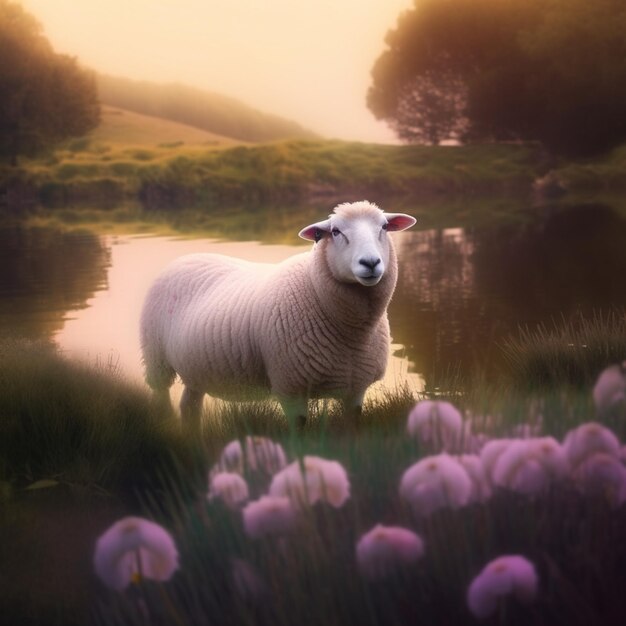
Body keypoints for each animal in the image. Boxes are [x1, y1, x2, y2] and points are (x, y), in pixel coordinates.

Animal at [139, 200, 416, 428]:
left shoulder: (355, 390)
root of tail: (187, 257)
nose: (370, 263)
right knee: (163, 398)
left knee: (190, 407)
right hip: (156, 359)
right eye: (336, 231)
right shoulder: (290, 386)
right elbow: (299, 435)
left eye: (384, 227)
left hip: (195, 369)